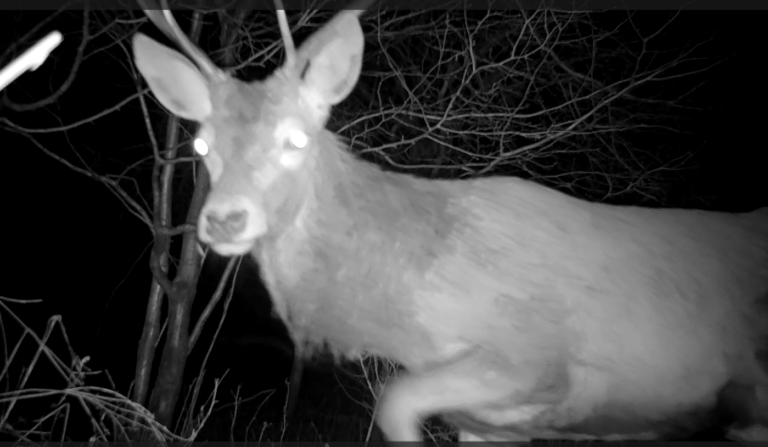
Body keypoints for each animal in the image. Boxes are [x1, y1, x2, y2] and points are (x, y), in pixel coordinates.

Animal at [131, 1, 768, 444]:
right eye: (201, 143)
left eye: (294, 139)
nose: (225, 219)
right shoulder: (488, 423)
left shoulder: (538, 357)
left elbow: (392, 401)